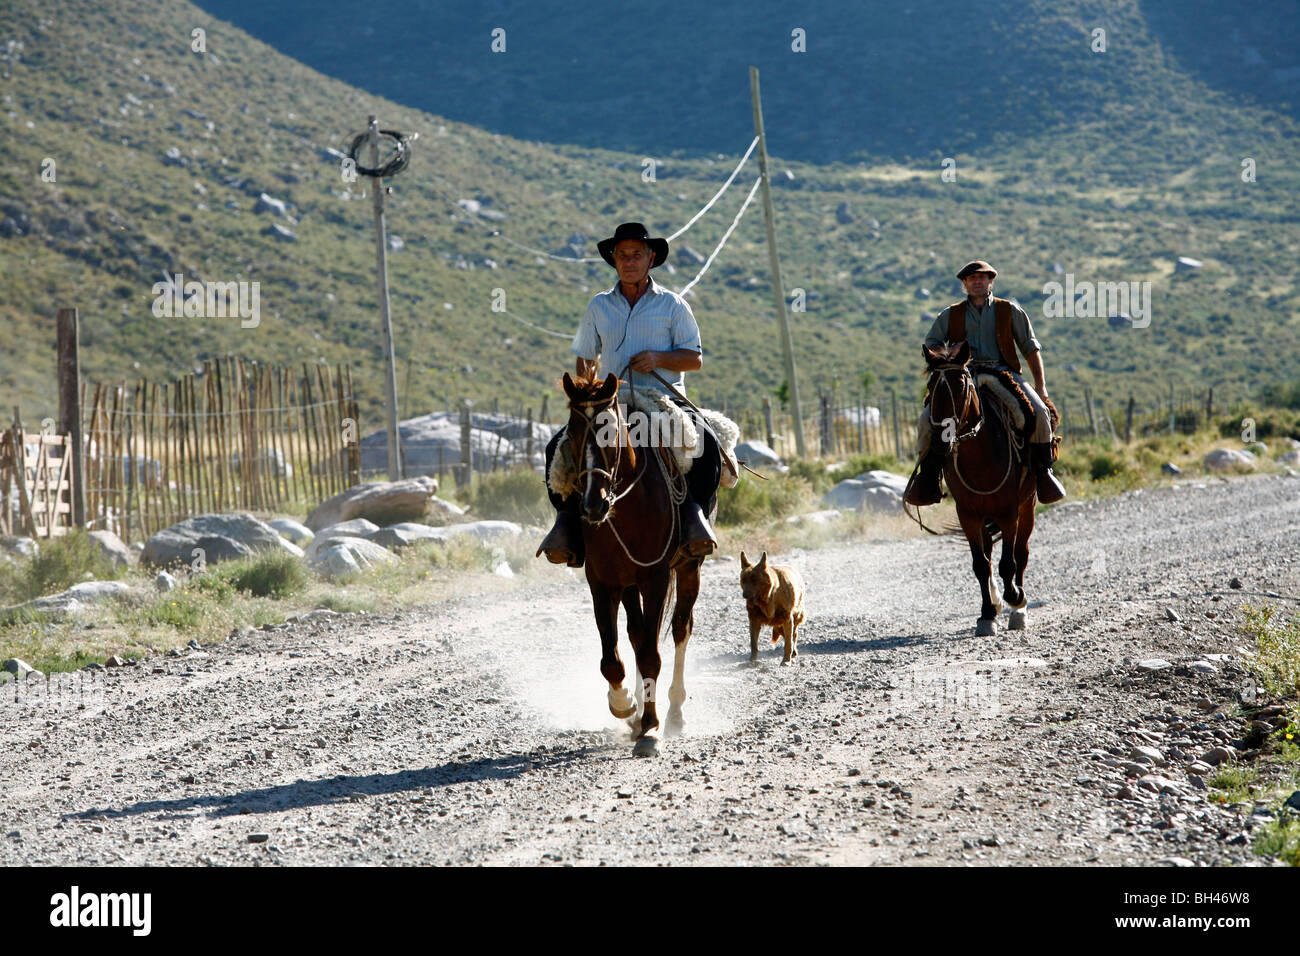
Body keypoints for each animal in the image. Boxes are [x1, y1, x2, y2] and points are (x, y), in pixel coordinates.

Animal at [559, 369, 702, 759]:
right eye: (571, 433)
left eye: (611, 432)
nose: (592, 505)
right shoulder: (603, 582)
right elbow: (614, 658)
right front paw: (625, 704)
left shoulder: (655, 578)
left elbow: (652, 654)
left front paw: (651, 728)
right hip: (628, 584)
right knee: (637, 635)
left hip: (688, 568)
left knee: (680, 627)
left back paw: (675, 712)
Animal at [920, 340, 1050, 639]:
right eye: (931, 386)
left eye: (961, 386)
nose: (941, 440)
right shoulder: (967, 514)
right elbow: (980, 564)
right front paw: (987, 614)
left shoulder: (1008, 512)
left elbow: (1008, 563)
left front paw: (1016, 599)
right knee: (990, 553)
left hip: (1027, 507)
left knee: (1021, 554)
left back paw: (1018, 608)